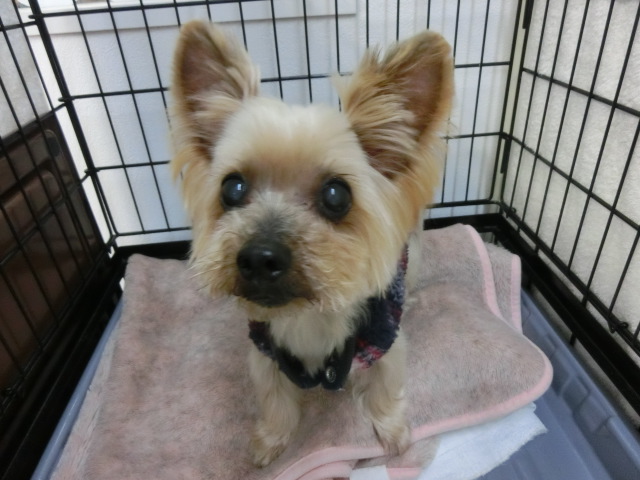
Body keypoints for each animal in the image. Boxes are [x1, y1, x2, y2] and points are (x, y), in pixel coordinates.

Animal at [170, 20, 453, 467]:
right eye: (232, 188)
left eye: (336, 195)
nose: (259, 257)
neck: (308, 315)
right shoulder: (264, 352)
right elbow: (274, 399)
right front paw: (270, 441)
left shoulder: (385, 344)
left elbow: (385, 388)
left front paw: (392, 432)